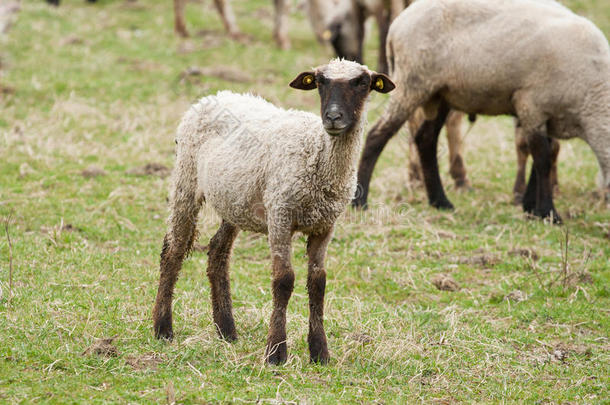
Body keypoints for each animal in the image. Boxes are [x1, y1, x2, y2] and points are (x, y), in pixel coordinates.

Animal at [150, 58, 392, 364]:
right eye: (320, 82)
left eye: (362, 83)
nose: (333, 118)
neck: (318, 153)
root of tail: (214, 96)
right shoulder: (280, 215)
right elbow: (284, 280)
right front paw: (276, 352)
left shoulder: (325, 226)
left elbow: (318, 283)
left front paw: (320, 352)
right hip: (186, 178)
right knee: (173, 250)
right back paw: (163, 328)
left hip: (234, 199)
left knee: (217, 251)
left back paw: (226, 330)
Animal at [352, 0, 608, 224]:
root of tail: (398, 24)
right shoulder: (531, 103)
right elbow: (543, 157)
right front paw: (548, 213)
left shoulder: (549, 116)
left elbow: (547, 154)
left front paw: (531, 208)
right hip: (411, 82)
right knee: (378, 135)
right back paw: (359, 201)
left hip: (441, 92)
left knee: (426, 139)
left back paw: (440, 201)